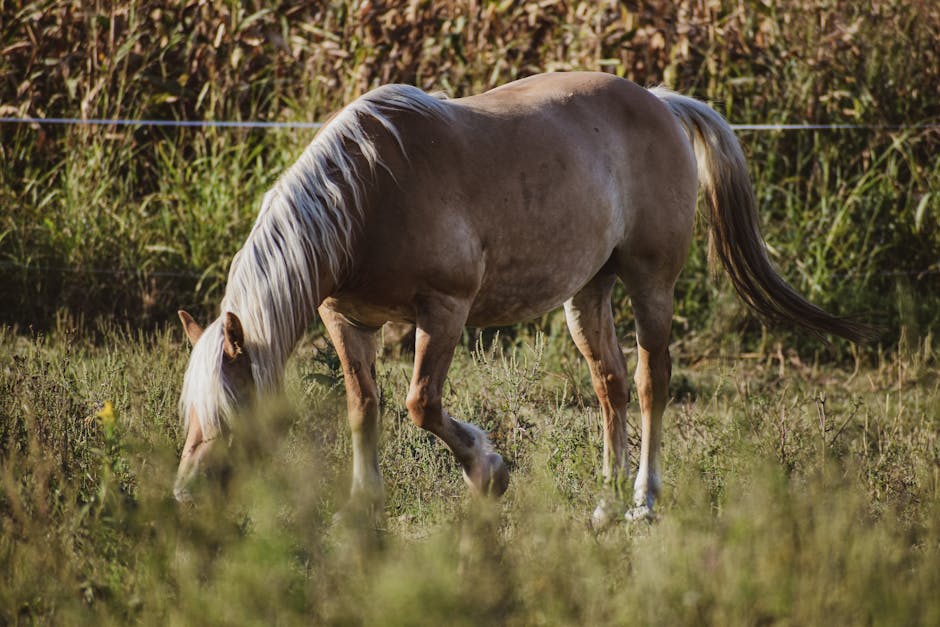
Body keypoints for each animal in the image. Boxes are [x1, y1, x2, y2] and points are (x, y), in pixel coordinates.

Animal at [173, 70, 872, 524]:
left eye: (230, 414)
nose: (185, 495)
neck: (366, 196)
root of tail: (659, 103)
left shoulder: (443, 311)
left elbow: (421, 404)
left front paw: (491, 472)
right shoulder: (348, 321)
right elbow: (363, 408)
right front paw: (362, 508)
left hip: (651, 282)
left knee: (652, 382)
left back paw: (643, 501)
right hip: (587, 293)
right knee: (610, 385)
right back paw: (605, 500)